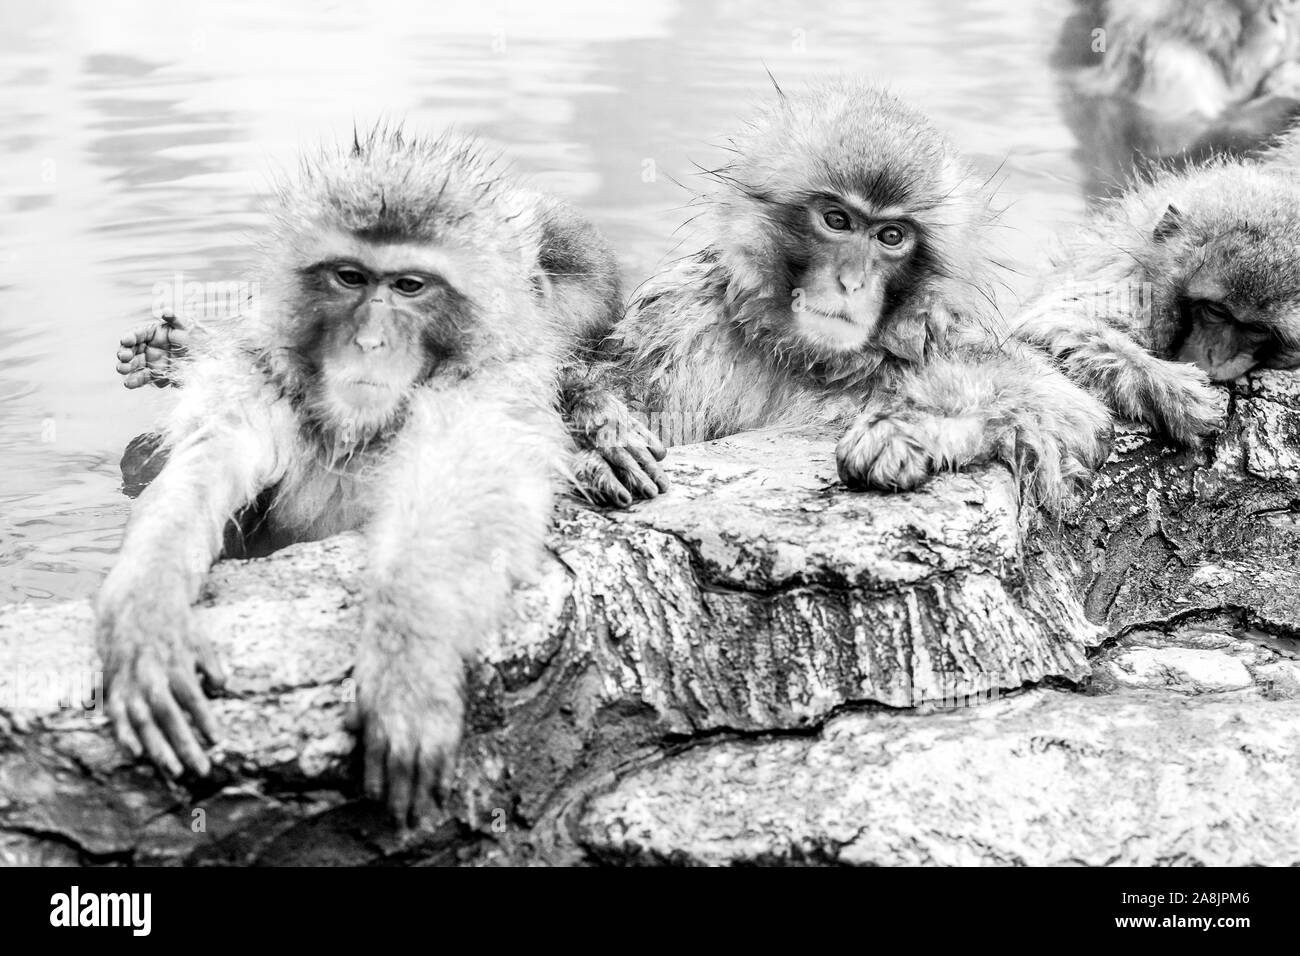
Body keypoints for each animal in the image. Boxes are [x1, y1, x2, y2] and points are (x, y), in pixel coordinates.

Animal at [96, 128, 655, 832]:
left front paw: (407, 664)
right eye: (351, 277)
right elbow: (205, 464)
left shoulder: (485, 389)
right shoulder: (265, 379)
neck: (362, 429)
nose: (368, 341)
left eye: (410, 286)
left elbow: (462, 495)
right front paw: (147, 610)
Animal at [579, 79, 1107, 512]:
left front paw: (912, 427)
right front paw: (600, 429)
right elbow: (635, 392)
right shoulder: (681, 314)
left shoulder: (941, 341)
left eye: (890, 236)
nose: (851, 282)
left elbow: (1063, 411)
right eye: (837, 220)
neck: (805, 359)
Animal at [1013, 147, 1300, 447]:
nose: (1216, 358)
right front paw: (1172, 392)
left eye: (1256, 329)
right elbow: (1059, 319)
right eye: (1215, 311)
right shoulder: (1131, 285)